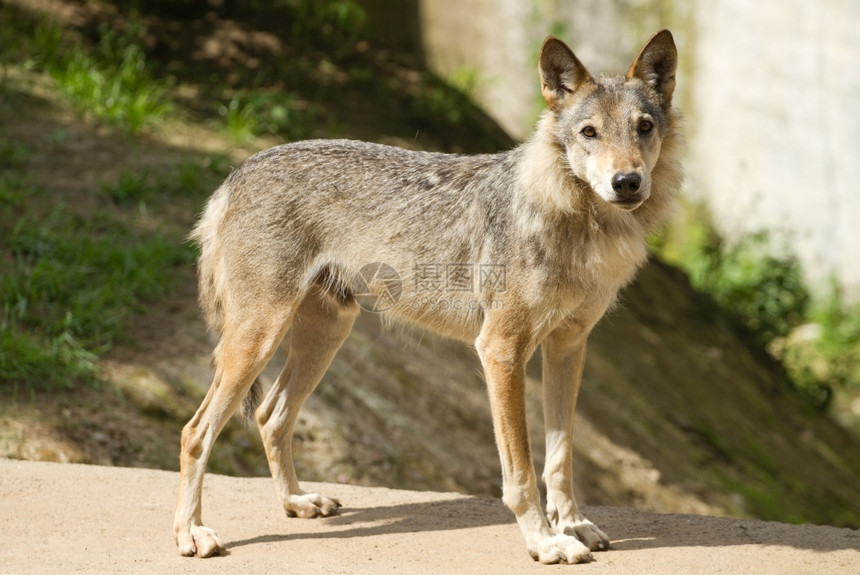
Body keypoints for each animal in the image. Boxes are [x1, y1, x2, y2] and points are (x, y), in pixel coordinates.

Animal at [175, 29, 680, 564]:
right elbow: (521, 472)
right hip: (258, 340)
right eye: (589, 133)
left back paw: (297, 502)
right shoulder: (500, 350)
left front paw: (574, 526)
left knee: (270, 416)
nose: (627, 182)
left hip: (325, 337)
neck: (580, 222)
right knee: (196, 432)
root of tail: (237, 172)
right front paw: (544, 541)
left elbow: (559, 460)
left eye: (644, 127)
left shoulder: (568, 348)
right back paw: (191, 534)